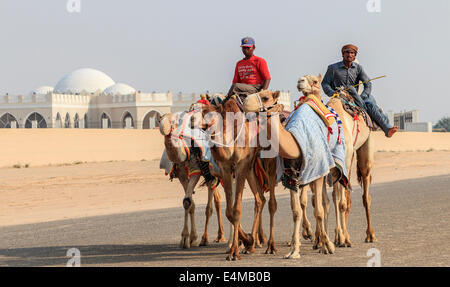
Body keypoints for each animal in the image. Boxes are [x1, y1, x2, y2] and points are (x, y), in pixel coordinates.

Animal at [160, 113, 227, 249]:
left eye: (172, 122)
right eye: (160, 120)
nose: (164, 129)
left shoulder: (195, 169)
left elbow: (190, 201)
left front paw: (190, 238)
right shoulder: (181, 174)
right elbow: (188, 202)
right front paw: (188, 238)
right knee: (216, 197)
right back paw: (218, 236)